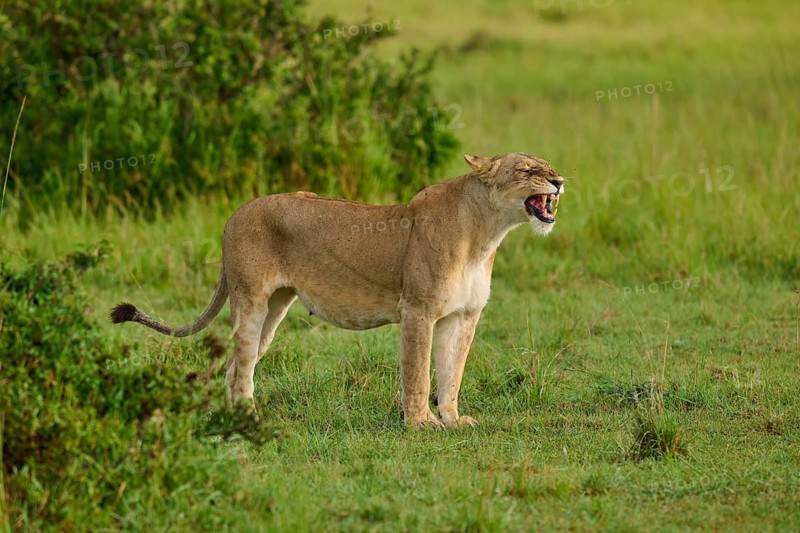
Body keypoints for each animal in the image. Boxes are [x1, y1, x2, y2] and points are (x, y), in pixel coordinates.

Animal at [111, 152, 565, 429]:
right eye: (528, 170)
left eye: (548, 166)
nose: (559, 180)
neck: (485, 234)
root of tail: (234, 214)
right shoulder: (418, 310)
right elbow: (418, 373)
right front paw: (421, 423)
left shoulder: (463, 315)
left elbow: (452, 374)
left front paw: (452, 420)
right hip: (251, 301)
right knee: (240, 364)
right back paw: (248, 418)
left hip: (275, 309)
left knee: (238, 365)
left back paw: (236, 414)